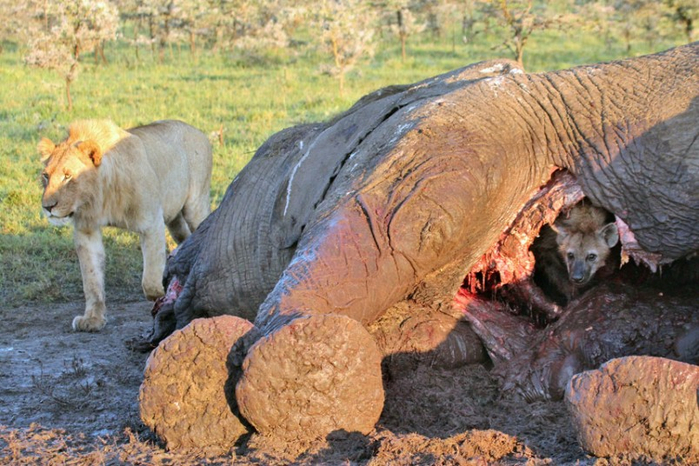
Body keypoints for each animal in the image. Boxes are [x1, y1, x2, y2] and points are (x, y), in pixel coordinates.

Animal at [38, 119, 212, 332]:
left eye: (68, 176)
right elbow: (91, 280)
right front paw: (92, 319)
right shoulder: (86, 230)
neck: (101, 196)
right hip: (175, 220)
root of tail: (197, 131)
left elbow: (150, 280)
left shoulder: (151, 221)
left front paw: (161, 294)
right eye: (46, 176)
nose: (48, 207)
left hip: (195, 205)